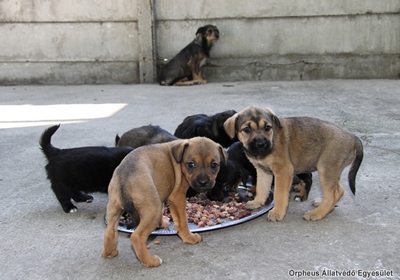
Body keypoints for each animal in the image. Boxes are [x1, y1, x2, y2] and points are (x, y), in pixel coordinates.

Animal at [101, 137, 227, 268]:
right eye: (191, 164)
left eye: (214, 165)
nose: (203, 182)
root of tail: (124, 178)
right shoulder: (177, 197)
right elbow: (182, 221)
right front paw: (189, 237)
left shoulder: (161, 194)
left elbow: (164, 210)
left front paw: (162, 224)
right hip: (153, 210)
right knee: (136, 236)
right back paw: (150, 261)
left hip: (114, 208)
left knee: (110, 233)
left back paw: (110, 253)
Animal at [223, 106, 364, 222]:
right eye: (247, 129)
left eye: (267, 127)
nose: (261, 144)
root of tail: (352, 137)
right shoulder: (263, 171)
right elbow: (261, 188)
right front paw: (257, 202)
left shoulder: (283, 171)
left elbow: (279, 194)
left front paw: (277, 212)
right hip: (332, 171)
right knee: (339, 190)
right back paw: (321, 204)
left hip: (325, 169)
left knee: (331, 196)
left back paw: (317, 213)